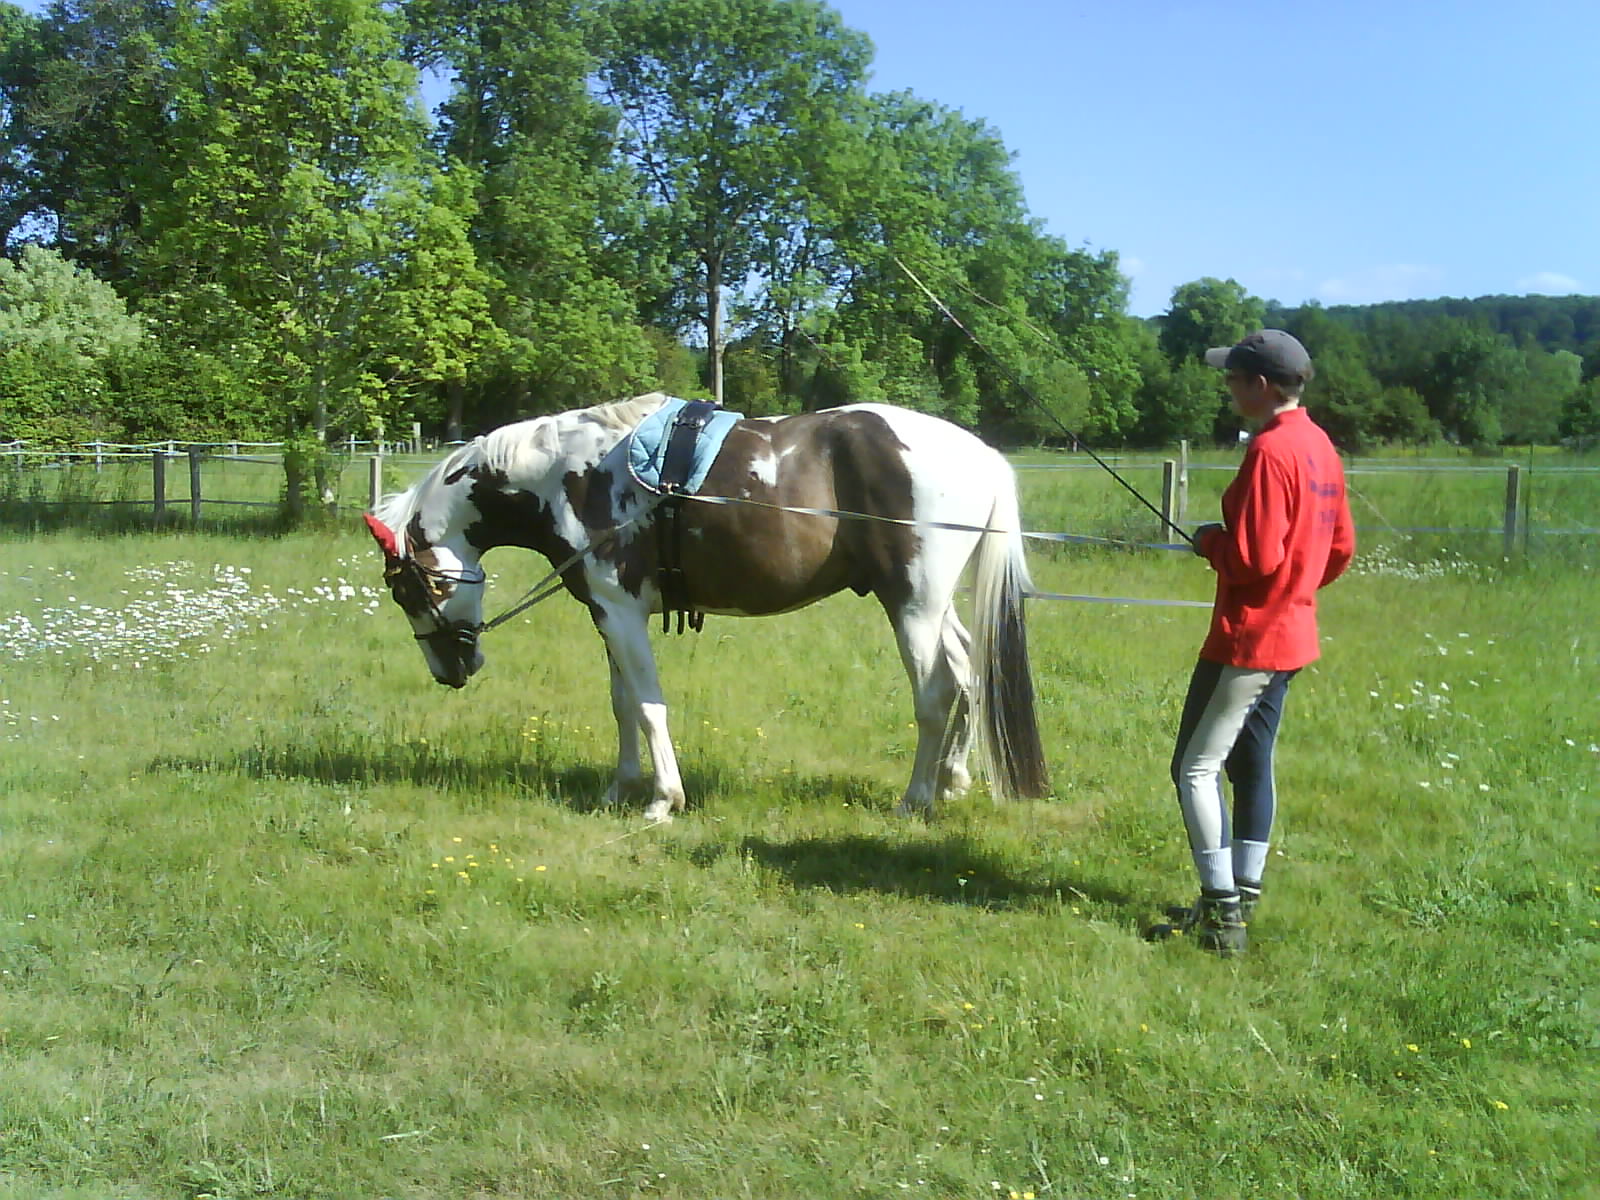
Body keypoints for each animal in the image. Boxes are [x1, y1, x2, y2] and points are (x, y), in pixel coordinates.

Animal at [368, 390, 1056, 825]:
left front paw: (662, 800)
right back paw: (953, 780)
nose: (450, 671)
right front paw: (620, 787)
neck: (567, 475)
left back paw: (915, 799)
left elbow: (649, 707)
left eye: (404, 590)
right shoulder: (607, 615)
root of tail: (983, 455)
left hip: (912, 606)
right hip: (935, 608)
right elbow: (622, 704)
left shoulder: (621, 611)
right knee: (966, 676)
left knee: (936, 694)